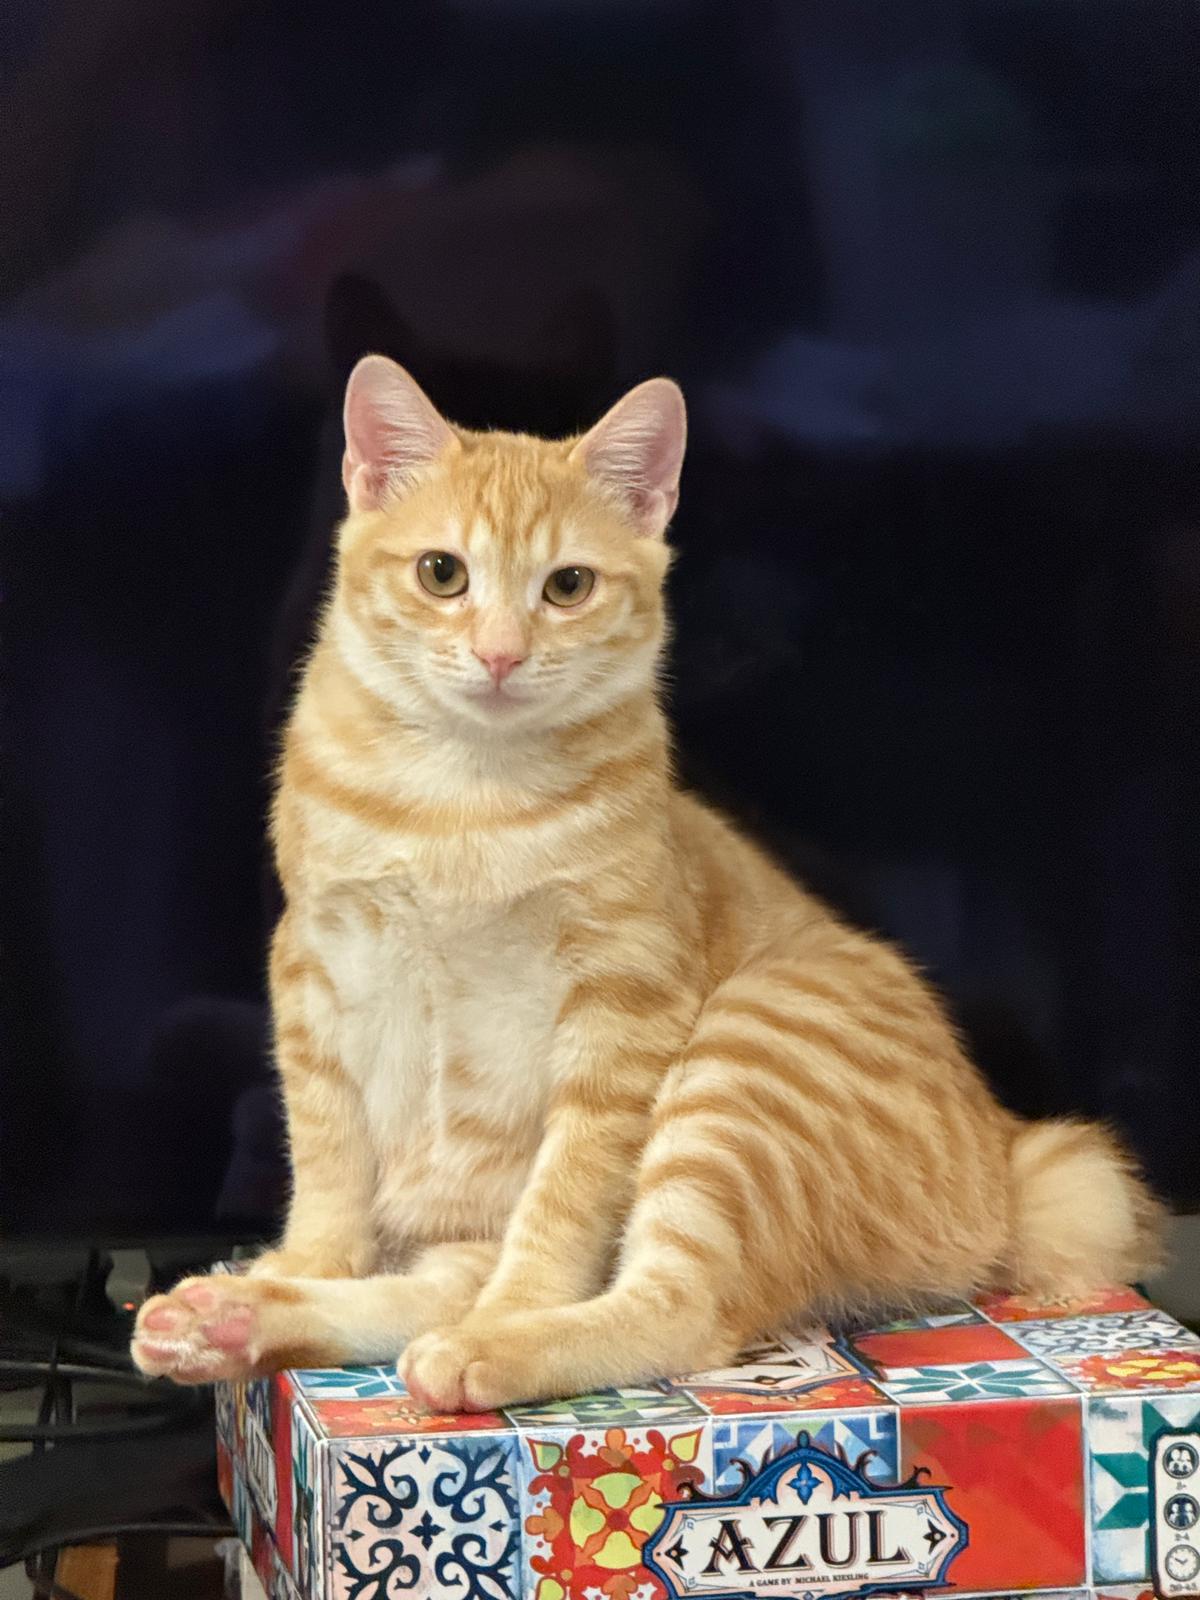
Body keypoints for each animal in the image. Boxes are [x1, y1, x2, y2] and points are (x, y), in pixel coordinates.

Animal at [131, 359, 1164, 1408]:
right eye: (441, 573)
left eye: (568, 586)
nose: (501, 653)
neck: (463, 797)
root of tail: (1004, 1159)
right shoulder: (316, 964)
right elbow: (329, 1156)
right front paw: (305, 1261)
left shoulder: (620, 1005)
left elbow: (563, 1201)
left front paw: (510, 1312)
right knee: (433, 1286)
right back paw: (229, 1318)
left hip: (740, 1068)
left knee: (674, 1310)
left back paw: (485, 1344)